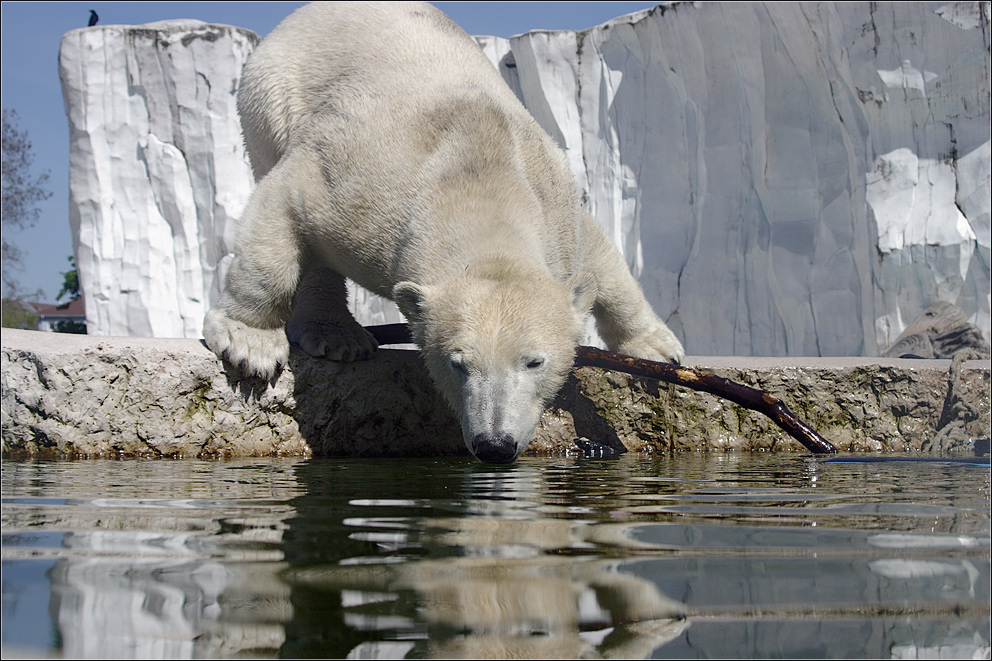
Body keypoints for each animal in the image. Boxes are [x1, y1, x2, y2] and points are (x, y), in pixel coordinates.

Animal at [202, 1, 680, 464]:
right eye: (458, 364)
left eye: (534, 362)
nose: (494, 445)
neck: (479, 176)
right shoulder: (358, 192)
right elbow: (286, 199)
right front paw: (251, 344)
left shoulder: (557, 209)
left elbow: (601, 258)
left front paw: (657, 350)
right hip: (272, 93)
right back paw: (336, 336)